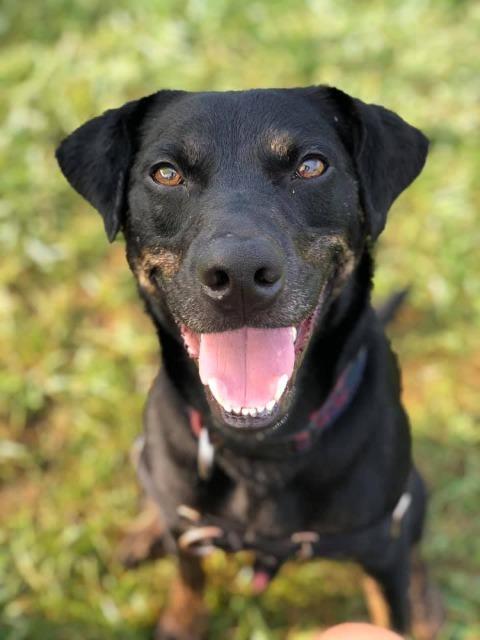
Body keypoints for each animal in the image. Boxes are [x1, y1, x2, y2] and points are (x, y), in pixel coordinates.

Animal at [56, 86, 442, 640]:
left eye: (311, 166)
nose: (238, 275)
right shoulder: (188, 525)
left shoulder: (381, 549)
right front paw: (181, 619)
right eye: (165, 173)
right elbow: (188, 578)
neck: (259, 452)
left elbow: (393, 607)